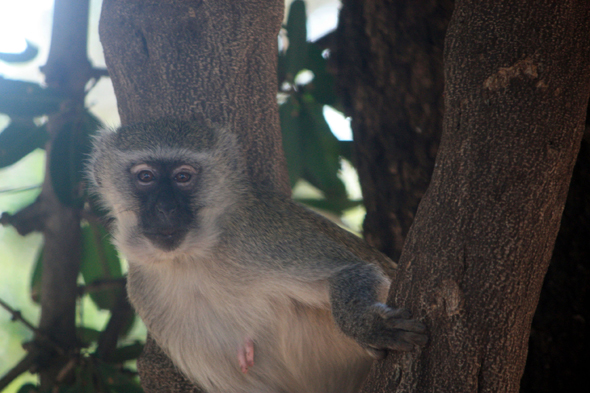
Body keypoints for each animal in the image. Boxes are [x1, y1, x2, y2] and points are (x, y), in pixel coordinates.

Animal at [88, 119, 428, 392]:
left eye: (183, 177)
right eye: (145, 177)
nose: (165, 208)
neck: (192, 258)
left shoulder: (258, 236)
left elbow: (353, 271)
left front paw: (367, 326)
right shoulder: (144, 292)